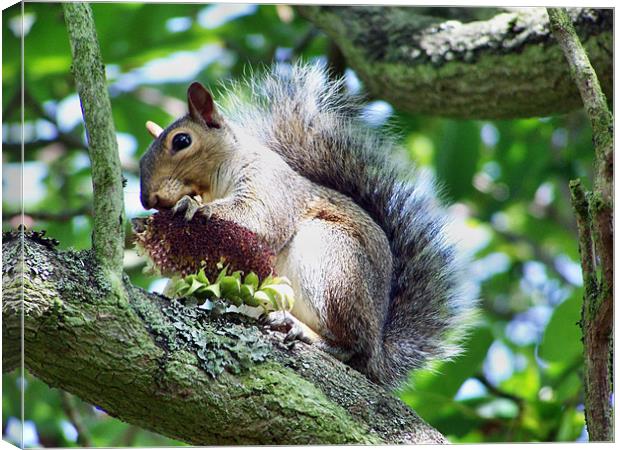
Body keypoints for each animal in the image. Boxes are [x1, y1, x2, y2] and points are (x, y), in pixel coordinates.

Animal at [139, 63, 474, 386]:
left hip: (333, 263)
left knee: (351, 346)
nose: (146, 198)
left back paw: (306, 332)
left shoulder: (270, 183)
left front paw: (194, 207)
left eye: (182, 140)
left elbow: (259, 219)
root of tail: (377, 352)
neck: (216, 182)